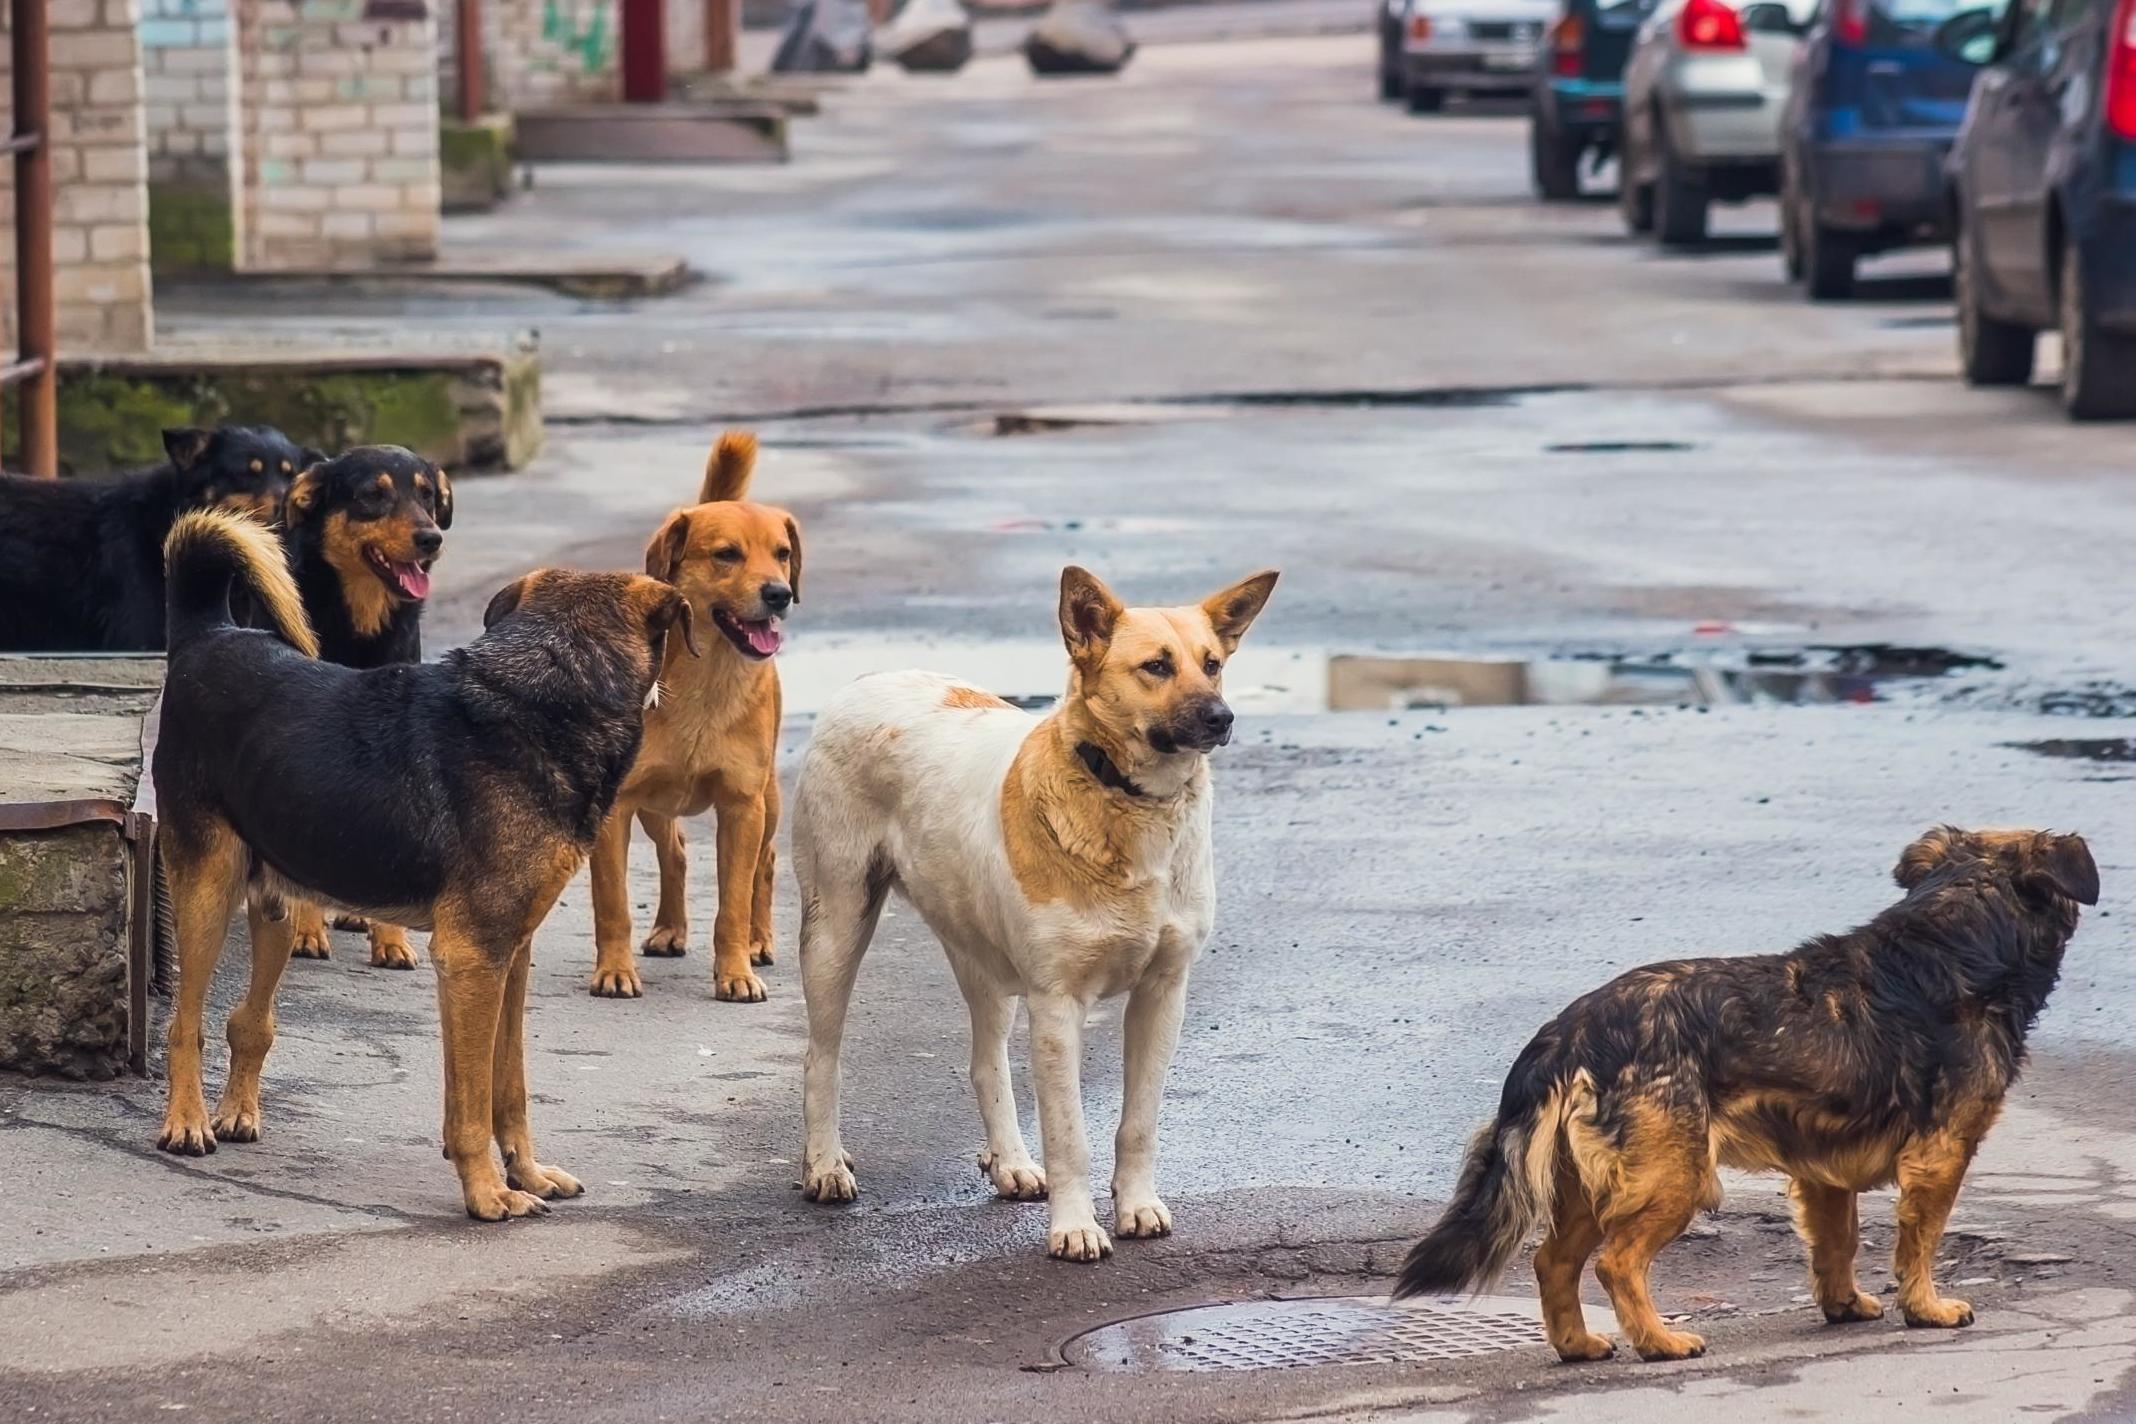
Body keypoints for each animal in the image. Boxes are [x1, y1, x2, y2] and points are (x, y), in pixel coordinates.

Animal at [154, 505, 696, 1221]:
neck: (547, 692)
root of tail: (208, 634)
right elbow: (471, 1103)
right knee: (184, 1022)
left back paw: (237, 1110)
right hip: (207, 891)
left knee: (249, 1019)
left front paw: (526, 1172)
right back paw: (186, 1122)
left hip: (275, 903)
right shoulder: (471, 959)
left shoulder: (509, 956)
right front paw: (488, 1192)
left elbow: (507, 1086)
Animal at [277, 450, 452, 973]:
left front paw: (391, 940)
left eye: (427, 495)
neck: (360, 623)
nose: (431, 539)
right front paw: (306, 932)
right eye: (373, 495)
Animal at [798, 563, 1264, 1255]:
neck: (1128, 800)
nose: (1222, 717)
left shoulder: (1163, 993)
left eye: (1213, 664)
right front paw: (1075, 1227)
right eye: (1155, 666)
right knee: (820, 1057)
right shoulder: (1057, 1004)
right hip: (835, 928)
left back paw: (1010, 1162)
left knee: (985, 1063)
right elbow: (1069, 1134)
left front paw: (1136, 1205)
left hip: (981, 957)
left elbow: (1139, 1122)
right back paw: (824, 1164)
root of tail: (868, 680)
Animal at [1392, 828, 2093, 1366]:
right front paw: (1925, 1308)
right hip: (1675, 1176)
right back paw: (1660, 1342)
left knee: (1552, 1262)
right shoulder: (1940, 1157)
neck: (1957, 935)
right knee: (1615, 1264)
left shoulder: (1823, 1173)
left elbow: (1837, 1243)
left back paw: (1579, 1345)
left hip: (1593, 1184)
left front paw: (1843, 1305)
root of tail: (1569, 1032)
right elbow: (1918, 1243)